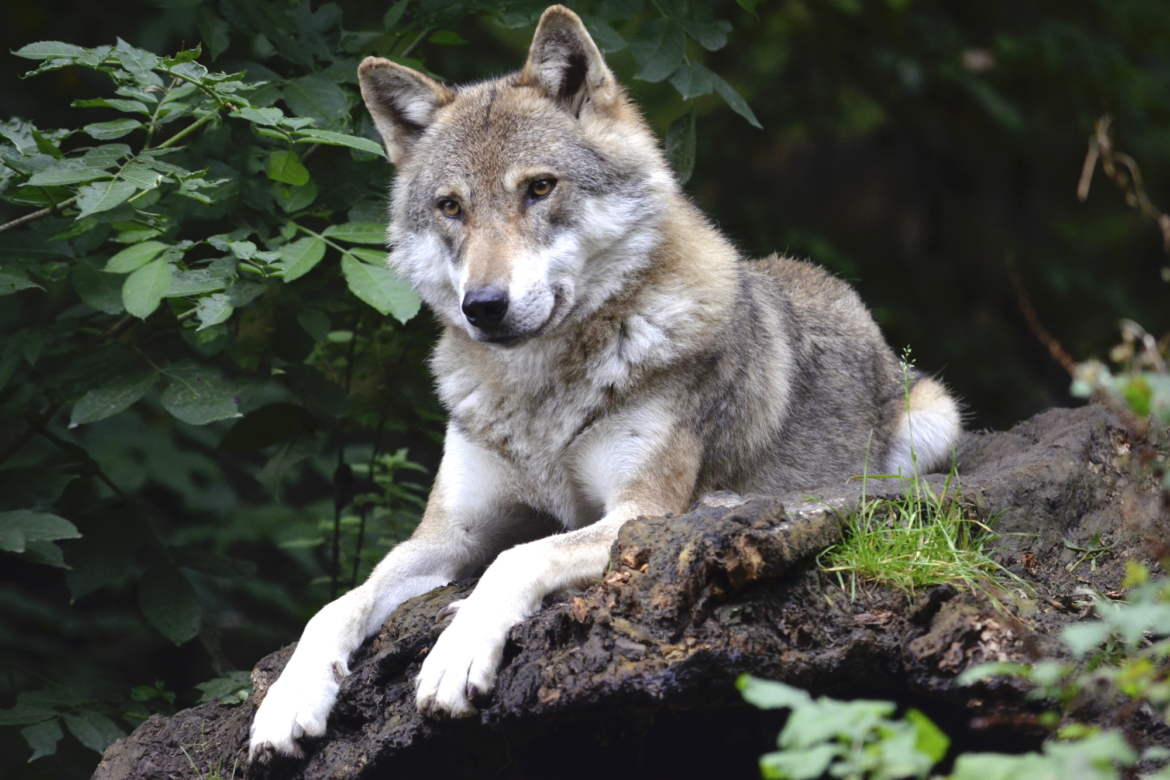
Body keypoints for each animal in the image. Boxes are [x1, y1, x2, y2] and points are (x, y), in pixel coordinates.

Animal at [248, 4, 961, 762]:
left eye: (539, 187)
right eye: (450, 207)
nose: (483, 306)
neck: (539, 397)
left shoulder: (634, 513)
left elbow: (517, 558)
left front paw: (455, 653)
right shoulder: (446, 535)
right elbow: (337, 604)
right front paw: (288, 700)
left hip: (932, 422)